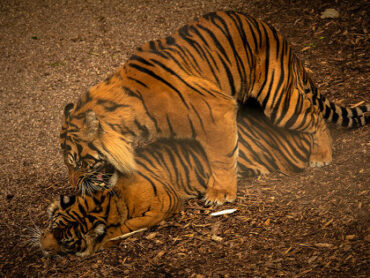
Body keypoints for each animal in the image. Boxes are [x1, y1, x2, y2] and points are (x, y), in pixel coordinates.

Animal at [39, 106, 312, 256]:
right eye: (52, 226)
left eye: (65, 240)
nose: (41, 246)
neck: (108, 201)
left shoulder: (165, 202)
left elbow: (132, 224)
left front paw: (105, 239)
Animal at [60, 11, 368, 204]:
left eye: (78, 163)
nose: (74, 187)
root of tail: (274, 30)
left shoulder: (216, 113)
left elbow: (221, 157)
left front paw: (220, 193)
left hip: (280, 103)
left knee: (314, 116)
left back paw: (321, 154)